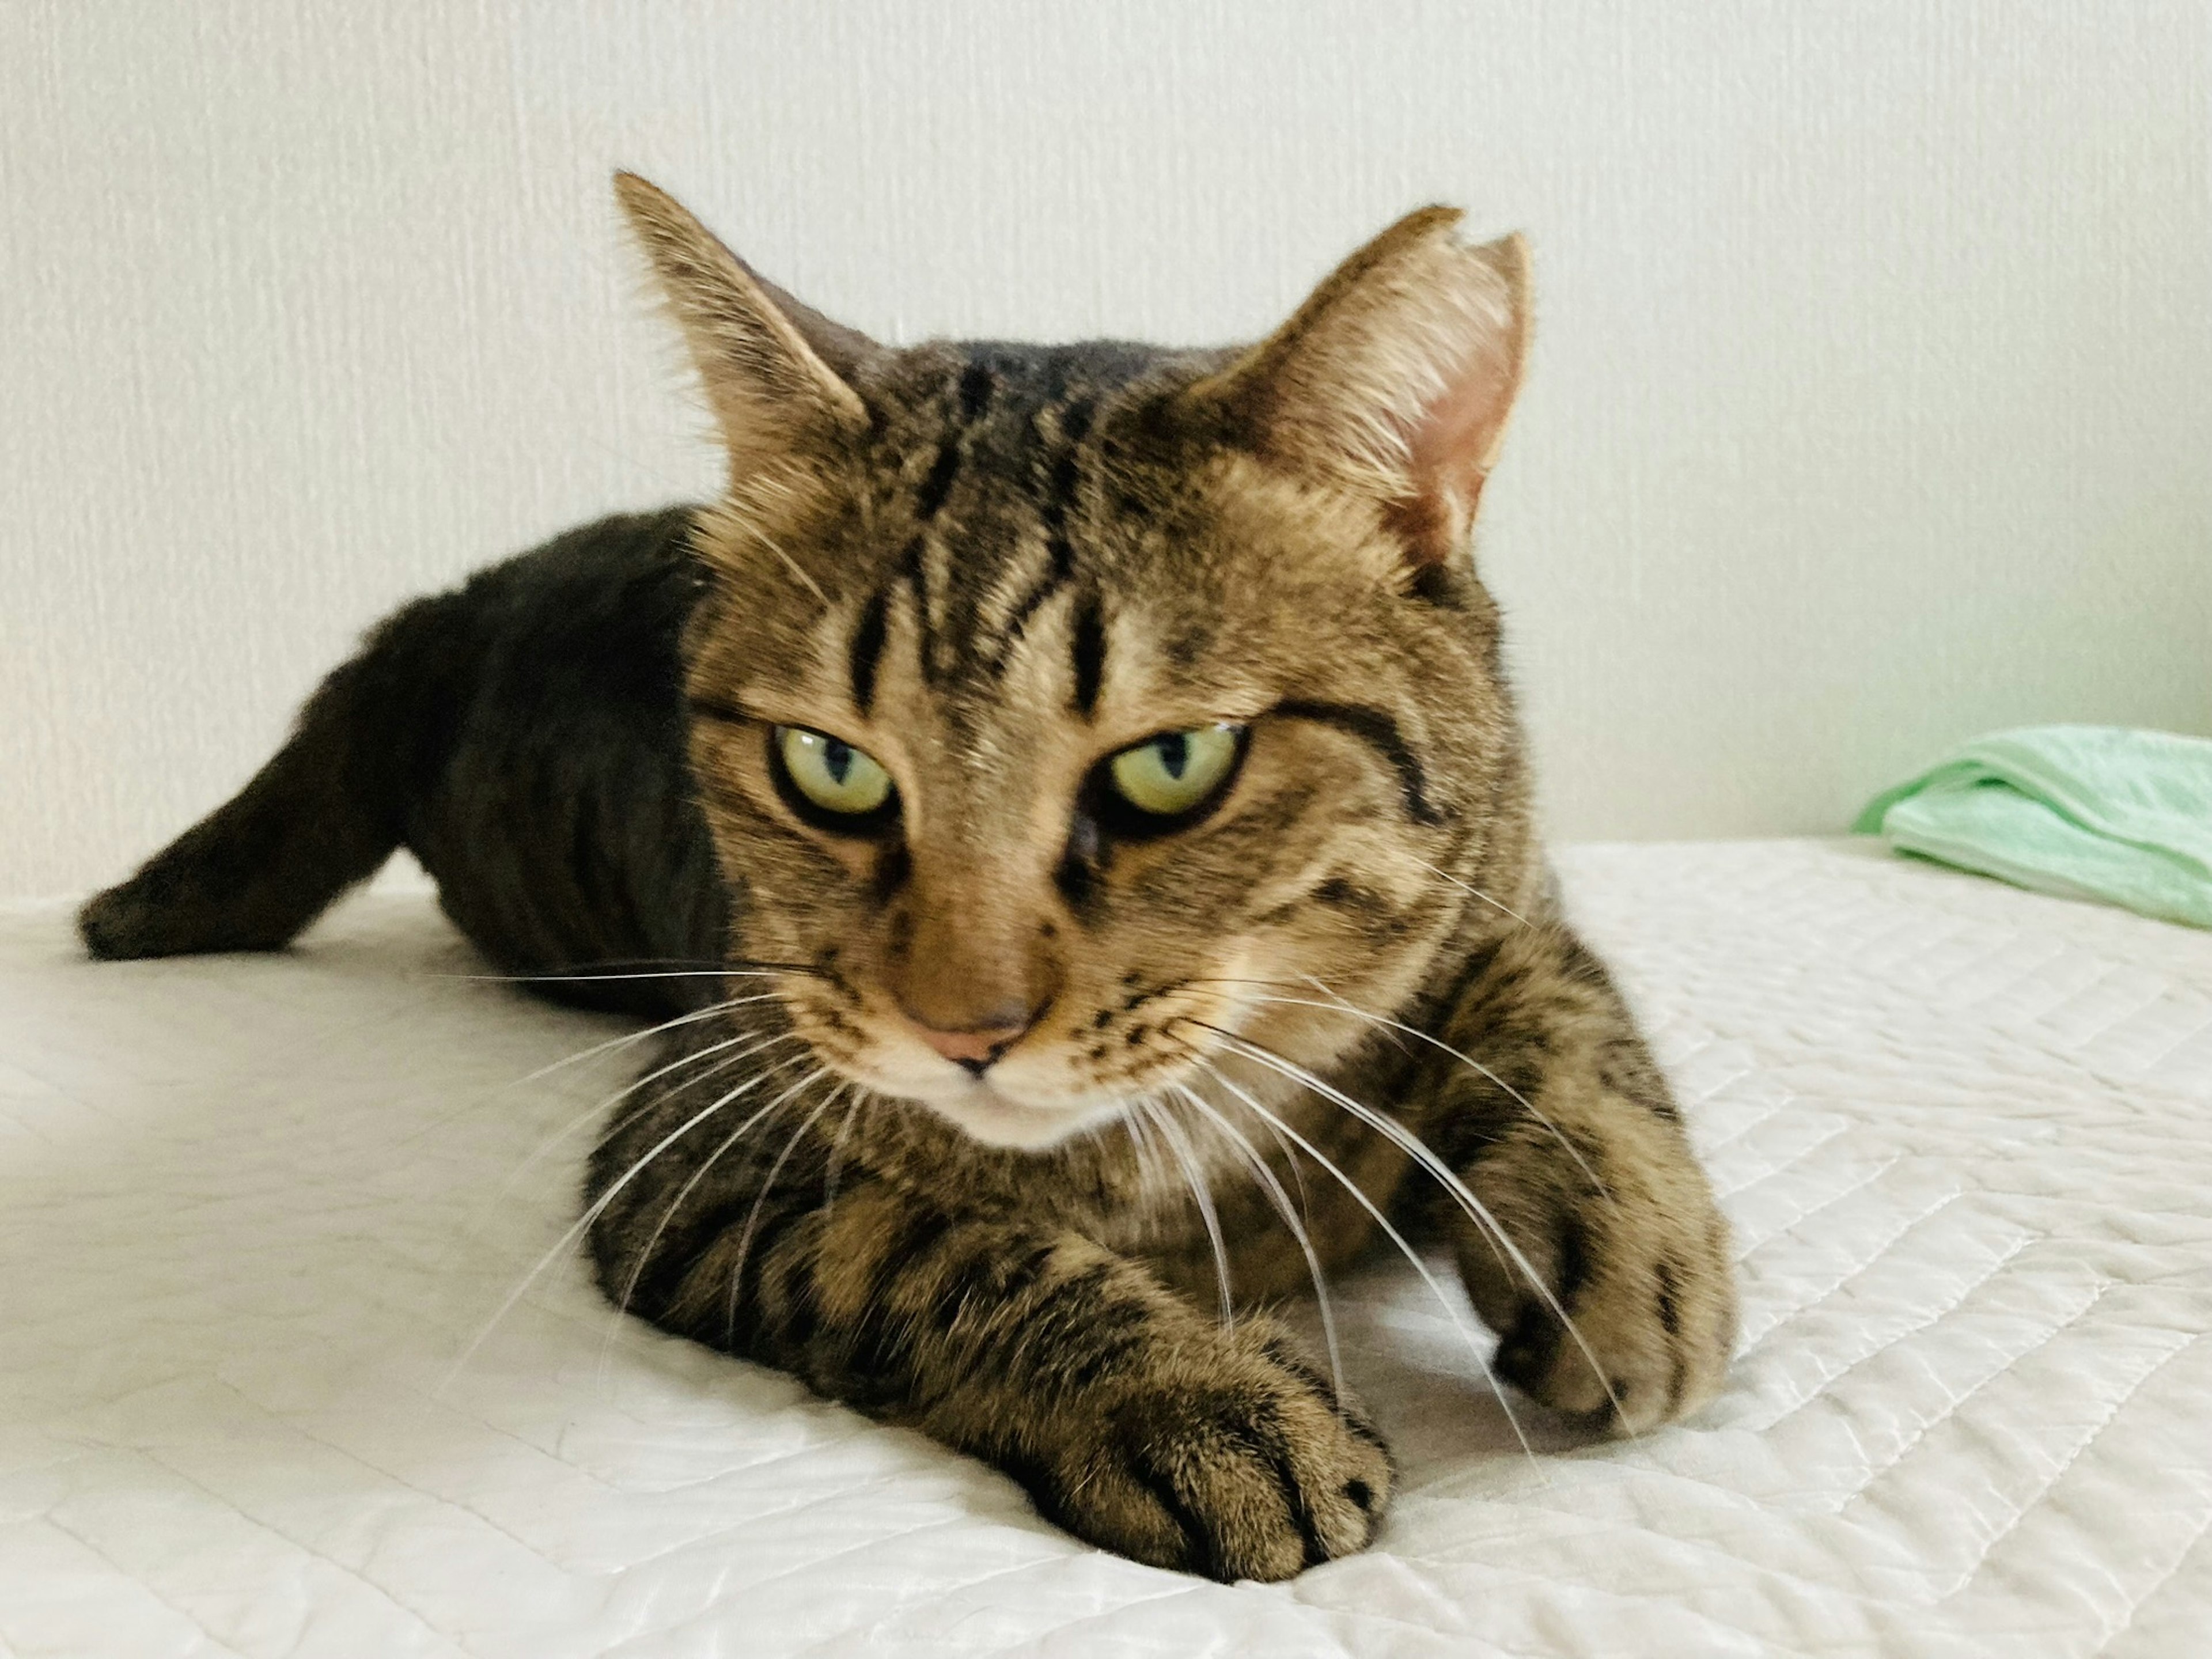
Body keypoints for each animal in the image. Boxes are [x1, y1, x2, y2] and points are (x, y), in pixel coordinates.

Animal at [86, 172, 1734, 1584]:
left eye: (1174, 764)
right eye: (832, 768)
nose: (963, 1028)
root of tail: (447, 607)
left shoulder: (1504, 873)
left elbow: (1558, 1002)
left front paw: (1637, 1243)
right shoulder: (704, 1153)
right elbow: (945, 1248)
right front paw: (1201, 1400)